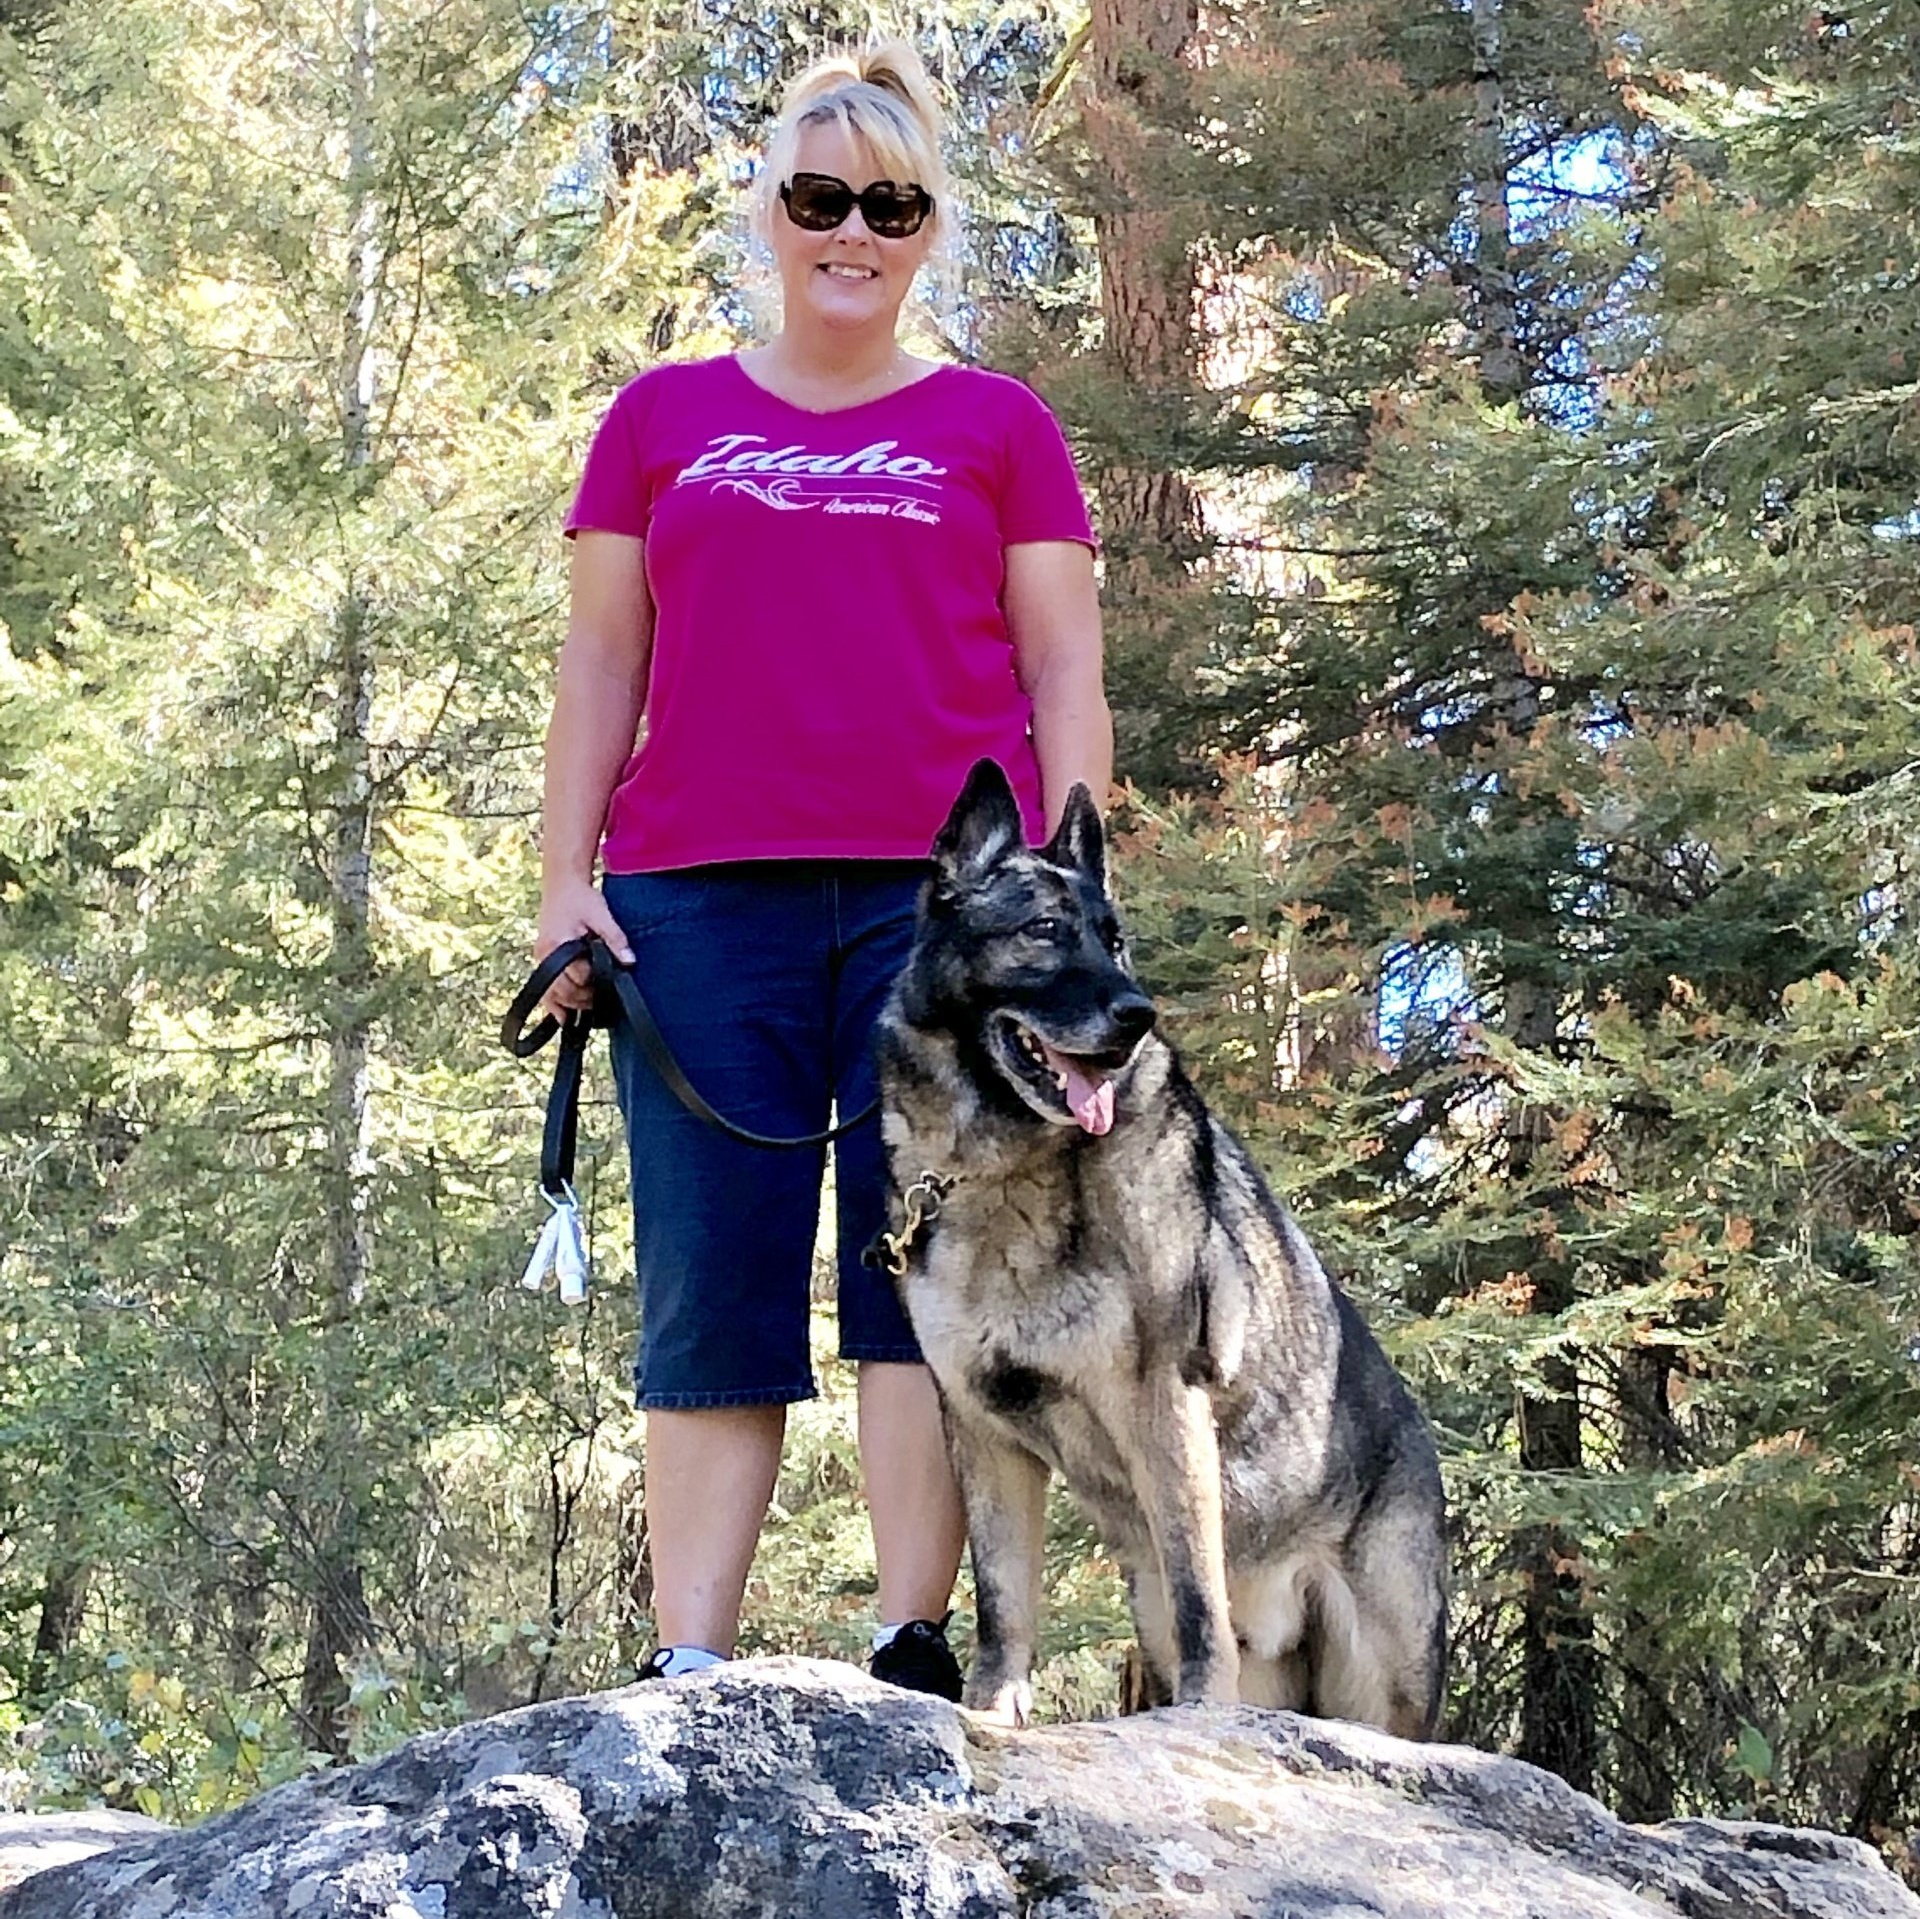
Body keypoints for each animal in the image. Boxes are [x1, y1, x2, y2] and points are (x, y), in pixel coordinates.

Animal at [871, 764, 1443, 1744]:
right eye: (1043, 932)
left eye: (1116, 941)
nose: (1138, 1016)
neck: (1010, 1164)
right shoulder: (984, 1433)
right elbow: (1002, 1599)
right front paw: (990, 1712)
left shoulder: (1166, 1405)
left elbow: (1197, 1594)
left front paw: (1201, 1714)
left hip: (1385, 1682)